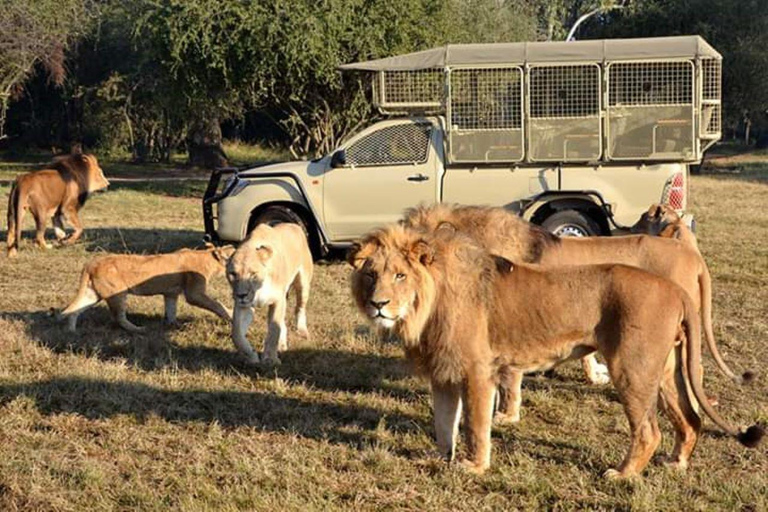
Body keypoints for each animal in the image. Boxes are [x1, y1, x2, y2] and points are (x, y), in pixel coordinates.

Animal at [56, 244, 232, 332]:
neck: (208, 257)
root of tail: (91, 264)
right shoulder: (194, 294)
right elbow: (217, 305)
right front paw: (230, 314)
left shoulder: (171, 294)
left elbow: (171, 310)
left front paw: (173, 325)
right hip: (117, 294)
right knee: (119, 317)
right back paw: (138, 329)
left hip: (92, 294)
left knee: (74, 310)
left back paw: (71, 331)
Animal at [226, 223, 314, 364]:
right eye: (233, 274)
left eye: (253, 274)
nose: (241, 295)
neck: (258, 289)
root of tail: (294, 225)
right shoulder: (243, 306)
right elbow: (237, 335)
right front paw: (252, 356)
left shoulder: (277, 300)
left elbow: (273, 330)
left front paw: (270, 359)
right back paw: (282, 345)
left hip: (303, 284)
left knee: (300, 308)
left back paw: (302, 331)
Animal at [350, 226, 760, 478]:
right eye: (371, 275)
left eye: (400, 275)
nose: (378, 304)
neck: (424, 307)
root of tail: (676, 290)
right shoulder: (443, 374)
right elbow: (443, 425)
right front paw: (439, 458)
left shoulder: (478, 371)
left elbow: (476, 426)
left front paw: (474, 466)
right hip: (664, 370)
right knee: (690, 419)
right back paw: (676, 464)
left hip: (632, 368)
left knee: (648, 431)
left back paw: (622, 474)